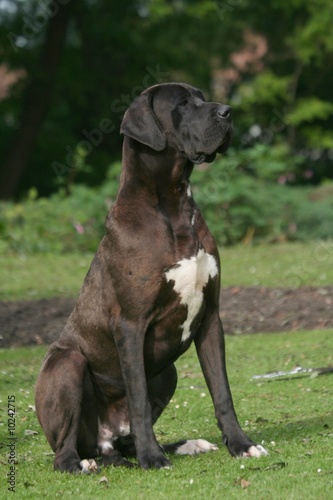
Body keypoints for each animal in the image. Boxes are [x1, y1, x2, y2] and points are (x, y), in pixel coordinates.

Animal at [35, 82, 266, 472]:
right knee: (65, 452)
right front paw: (153, 458)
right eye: (183, 104)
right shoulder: (130, 325)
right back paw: (85, 464)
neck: (172, 203)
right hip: (67, 363)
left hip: (167, 372)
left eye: (202, 97)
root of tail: (103, 442)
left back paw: (185, 445)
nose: (228, 111)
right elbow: (138, 398)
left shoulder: (210, 318)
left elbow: (222, 391)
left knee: (121, 444)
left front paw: (241, 445)